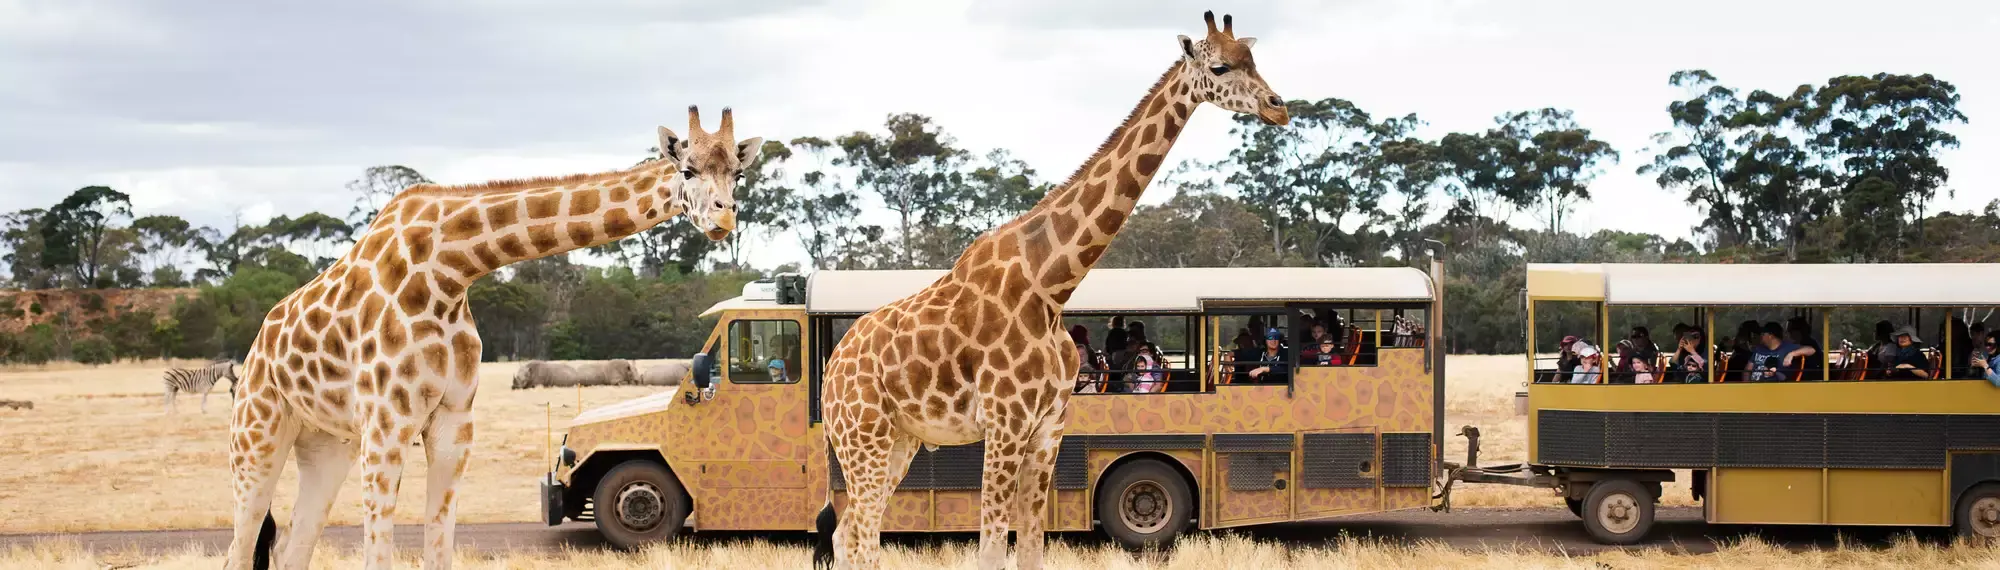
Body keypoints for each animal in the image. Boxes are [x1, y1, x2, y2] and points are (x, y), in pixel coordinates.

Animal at [221, 106, 765, 570]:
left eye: (738, 175)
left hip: (327, 445)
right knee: (240, 548)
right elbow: (379, 554)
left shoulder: (453, 423)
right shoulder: (386, 424)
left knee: (291, 547)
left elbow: (440, 547)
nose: (724, 219)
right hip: (257, 436)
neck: (450, 270)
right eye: (687, 170)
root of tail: (254, 350)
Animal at [817, 11, 1289, 570]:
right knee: (864, 538)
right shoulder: (1006, 422)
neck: (1052, 286)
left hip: (899, 441)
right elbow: (991, 549)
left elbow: (1032, 547)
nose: (1279, 107)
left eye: (1252, 59)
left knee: (847, 534)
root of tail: (832, 371)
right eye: (1219, 66)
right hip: (862, 435)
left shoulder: (1048, 429)